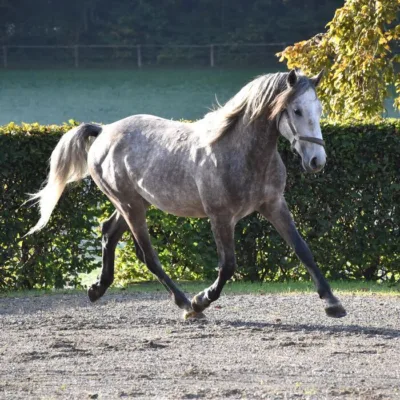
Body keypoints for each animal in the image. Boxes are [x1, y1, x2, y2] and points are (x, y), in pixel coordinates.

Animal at [27, 69, 346, 318]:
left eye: (319, 110)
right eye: (297, 111)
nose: (317, 161)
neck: (240, 152)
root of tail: (103, 132)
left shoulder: (274, 205)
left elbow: (302, 249)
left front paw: (332, 303)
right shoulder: (220, 217)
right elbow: (227, 266)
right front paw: (201, 300)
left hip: (133, 202)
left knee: (108, 232)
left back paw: (97, 289)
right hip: (130, 205)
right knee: (147, 255)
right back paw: (185, 304)